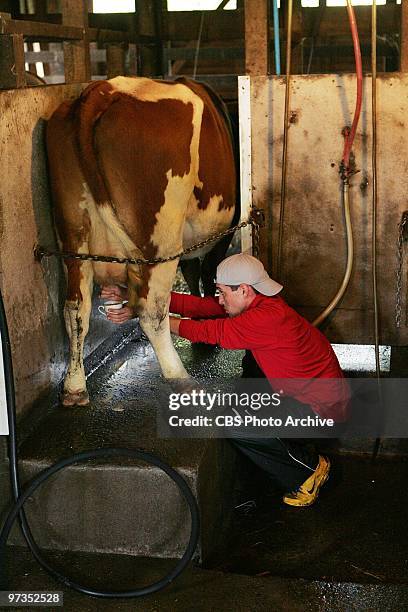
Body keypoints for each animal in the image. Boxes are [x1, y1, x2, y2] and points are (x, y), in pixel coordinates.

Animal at [45, 76, 236, 408]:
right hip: (160, 241)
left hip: (73, 235)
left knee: (75, 307)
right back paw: (181, 379)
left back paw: (74, 388)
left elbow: (194, 274)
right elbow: (208, 274)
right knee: (152, 310)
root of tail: (100, 92)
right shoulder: (223, 235)